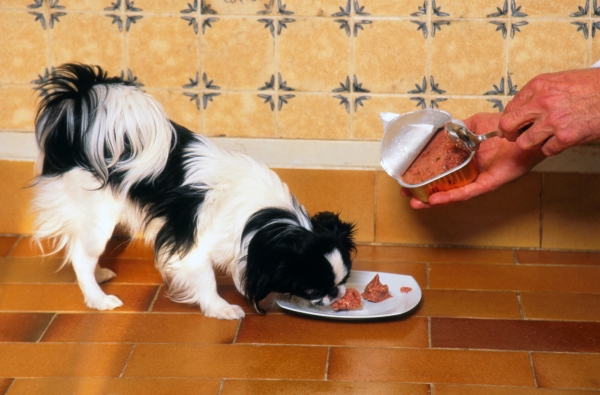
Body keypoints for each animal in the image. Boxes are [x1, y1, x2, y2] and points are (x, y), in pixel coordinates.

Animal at [31, 63, 356, 320]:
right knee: (80, 256)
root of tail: (75, 122)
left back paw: (100, 275)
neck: (259, 220)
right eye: (312, 287)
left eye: (345, 279)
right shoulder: (192, 246)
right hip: (97, 217)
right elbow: (206, 279)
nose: (336, 293)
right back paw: (98, 298)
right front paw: (221, 308)